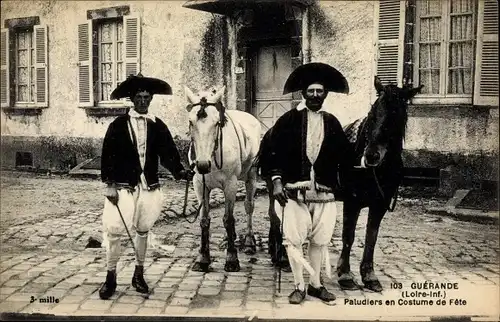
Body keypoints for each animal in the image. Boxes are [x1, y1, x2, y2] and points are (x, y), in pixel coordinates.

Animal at [184, 85, 262, 272]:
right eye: (191, 122)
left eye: (217, 123)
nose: (202, 165)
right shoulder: (200, 185)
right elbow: (204, 220)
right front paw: (203, 258)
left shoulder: (230, 185)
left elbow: (228, 219)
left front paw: (232, 258)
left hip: (251, 176)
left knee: (249, 206)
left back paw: (249, 242)